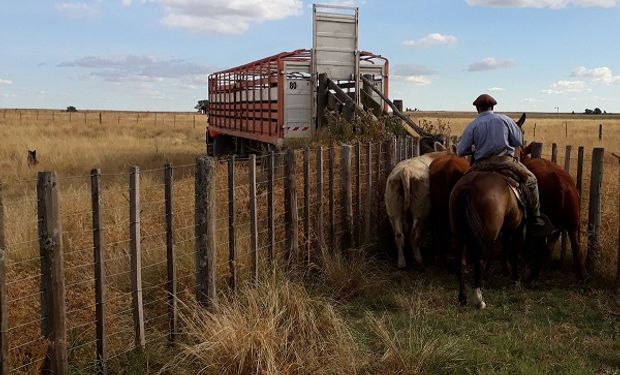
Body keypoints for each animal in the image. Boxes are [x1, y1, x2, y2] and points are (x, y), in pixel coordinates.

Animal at [448, 172, 524, 310]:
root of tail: (469, 185)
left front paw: (507, 270)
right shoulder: (517, 228)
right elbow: (514, 253)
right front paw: (515, 279)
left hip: (459, 235)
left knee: (461, 264)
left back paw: (463, 298)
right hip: (487, 236)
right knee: (480, 263)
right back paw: (479, 301)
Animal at [520, 144, 584, 280]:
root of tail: (562, 185)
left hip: (543, 223)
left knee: (543, 247)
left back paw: (532, 276)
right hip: (573, 224)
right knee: (575, 248)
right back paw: (580, 277)